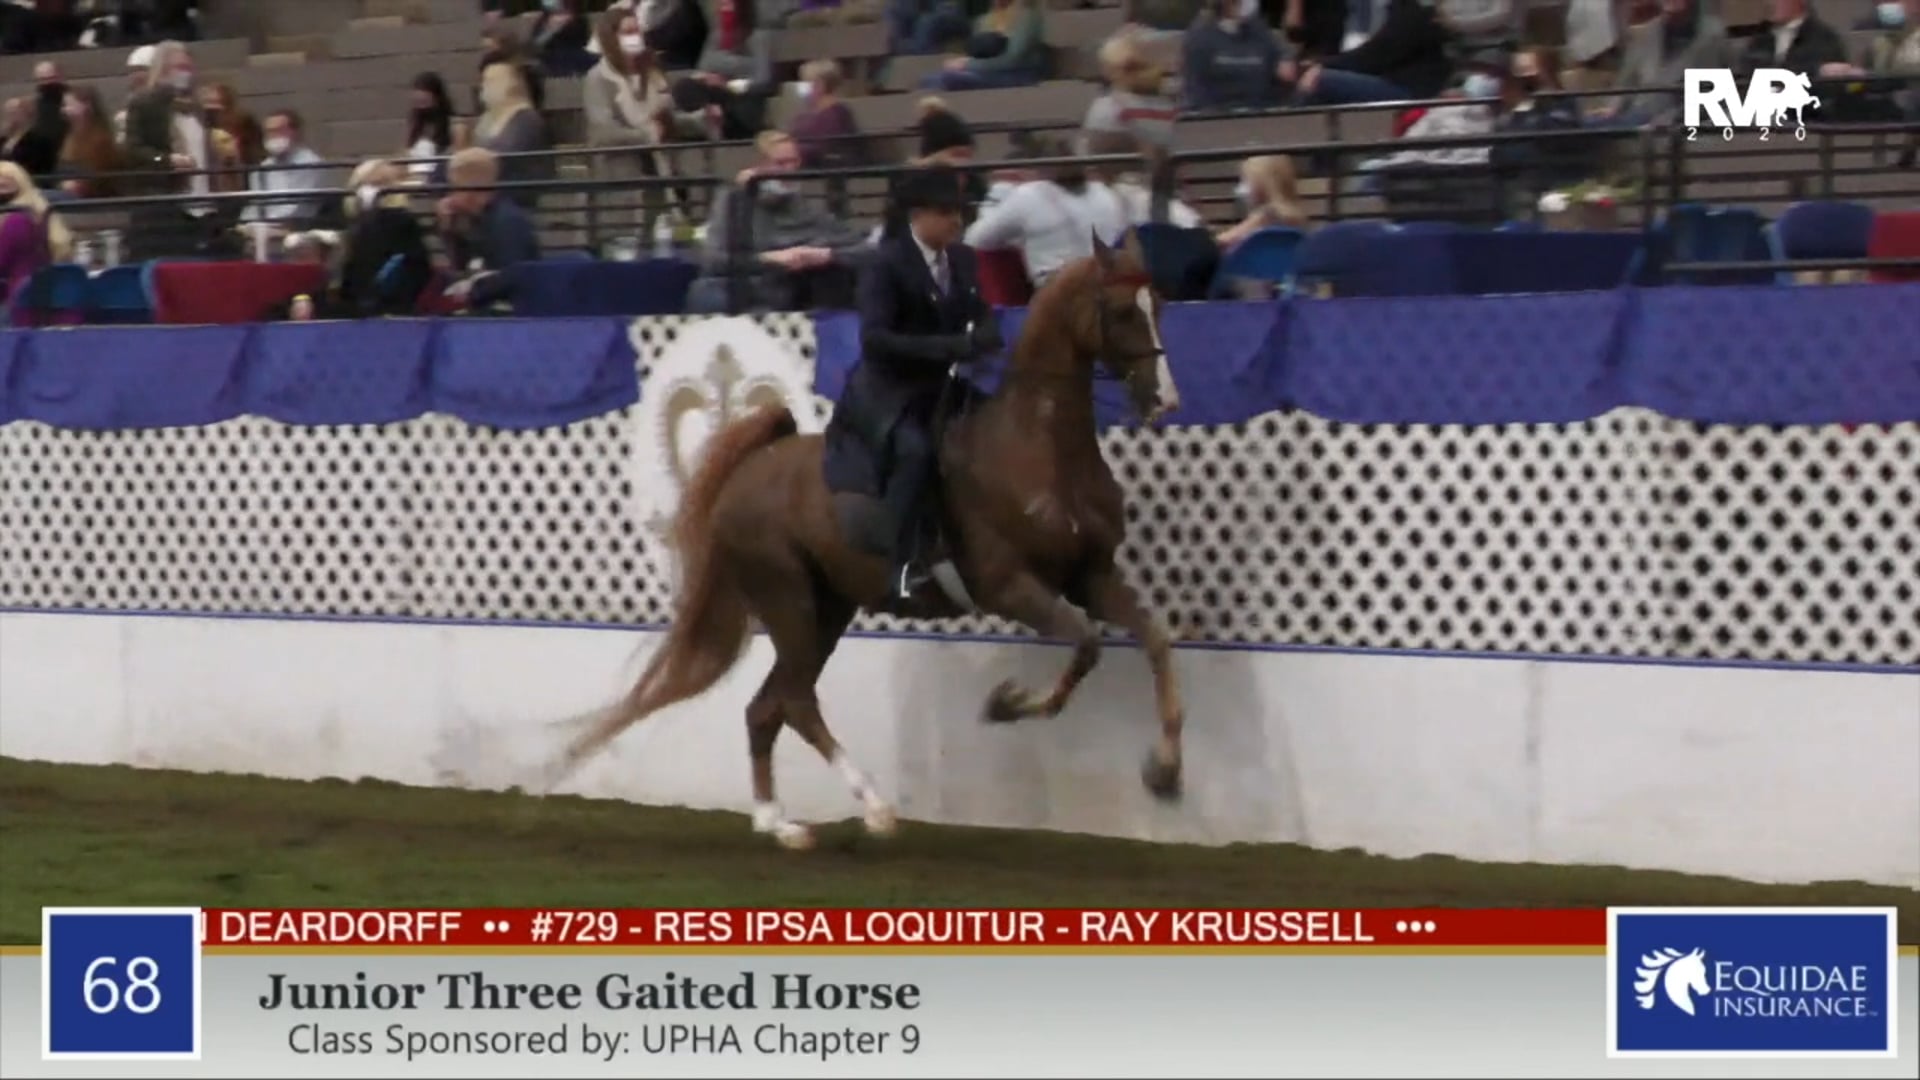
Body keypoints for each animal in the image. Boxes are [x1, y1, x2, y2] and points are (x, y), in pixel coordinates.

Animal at [549, 232, 1186, 849]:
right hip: (790, 601)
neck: (1039, 447)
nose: (1165, 402)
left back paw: (778, 823)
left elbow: (1154, 642)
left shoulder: (1091, 576)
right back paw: (875, 810)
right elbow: (1086, 647)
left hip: (827, 608)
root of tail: (749, 472)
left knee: (768, 706)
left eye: (1161, 305)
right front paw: (1004, 703)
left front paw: (1165, 773)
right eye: (1123, 311)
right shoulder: (1011, 587)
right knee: (795, 701)